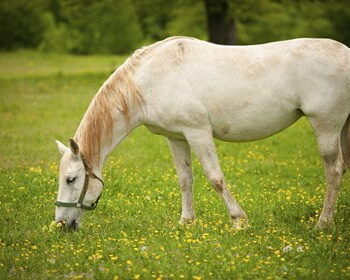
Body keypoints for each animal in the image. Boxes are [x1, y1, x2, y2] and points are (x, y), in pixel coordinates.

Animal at [54, 36, 350, 230]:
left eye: (71, 179)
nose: (61, 224)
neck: (149, 80)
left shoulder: (198, 132)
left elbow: (215, 177)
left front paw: (238, 220)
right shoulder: (176, 138)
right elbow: (185, 180)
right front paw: (186, 221)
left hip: (326, 126)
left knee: (334, 169)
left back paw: (323, 224)